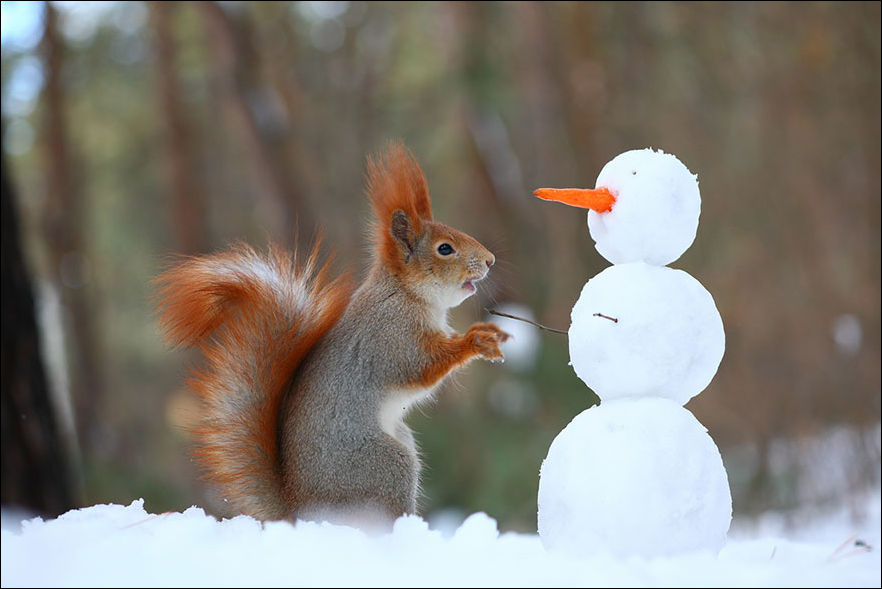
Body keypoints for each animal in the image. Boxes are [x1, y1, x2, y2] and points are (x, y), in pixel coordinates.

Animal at [155, 142, 510, 527]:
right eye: (445, 248)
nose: (490, 260)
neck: (406, 294)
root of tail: (302, 510)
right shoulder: (391, 337)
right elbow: (420, 367)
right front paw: (475, 341)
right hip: (385, 466)